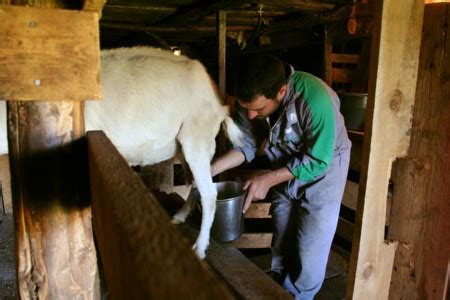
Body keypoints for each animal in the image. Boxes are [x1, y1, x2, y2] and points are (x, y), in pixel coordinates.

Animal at [0, 46, 243, 258]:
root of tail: (218, 103)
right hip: (185, 147)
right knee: (195, 184)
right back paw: (179, 217)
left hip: (197, 138)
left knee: (209, 194)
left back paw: (199, 248)